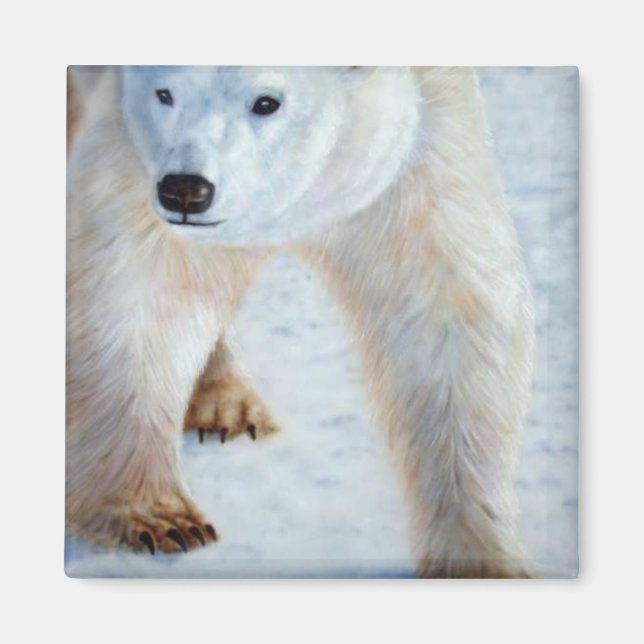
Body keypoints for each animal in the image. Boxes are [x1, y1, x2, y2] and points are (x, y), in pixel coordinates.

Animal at [67, 66, 534, 577]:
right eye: (164, 94)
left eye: (267, 102)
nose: (186, 190)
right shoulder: (131, 151)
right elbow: (136, 297)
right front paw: (159, 518)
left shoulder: (420, 148)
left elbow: (444, 315)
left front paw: (480, 558)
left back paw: (228, 406)